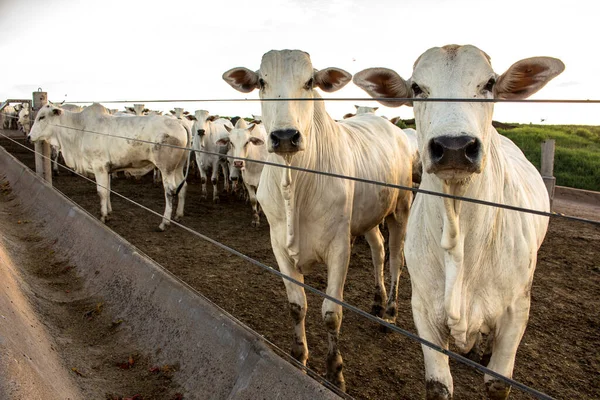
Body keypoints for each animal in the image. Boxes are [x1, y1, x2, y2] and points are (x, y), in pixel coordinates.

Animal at [26, 102, 188, 231]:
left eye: (42, 117)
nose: (28, 137)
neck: (79, 130)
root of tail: (179, 123)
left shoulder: (99, 167)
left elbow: (101, 192)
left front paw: (103, 216)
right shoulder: (108, 169)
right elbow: (108, 190)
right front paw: (109, 212)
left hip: (166, 168)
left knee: (170, 191)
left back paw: (164, 223)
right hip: (178, 167)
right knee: (183, 186)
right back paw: (179, 215)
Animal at [223, 48, 414, 390]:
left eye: (310, 81)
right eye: (261, 81)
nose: (285, 136)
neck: (295, 184)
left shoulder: (340, 246)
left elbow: (331, 313)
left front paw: (335, 372)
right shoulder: (278, 245)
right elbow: (297, 306)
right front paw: (299, 357)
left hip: (401, 209)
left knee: (396, 259)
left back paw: (389, 312)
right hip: (368, 217)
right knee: (379, 250)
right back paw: (377, 301)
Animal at [354, 44, 564, 400]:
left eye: (489, 83)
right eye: (416, 87)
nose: (454, 147)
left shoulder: (516, 312)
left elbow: (497, 383)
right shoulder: (424, 311)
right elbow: (438, 387)